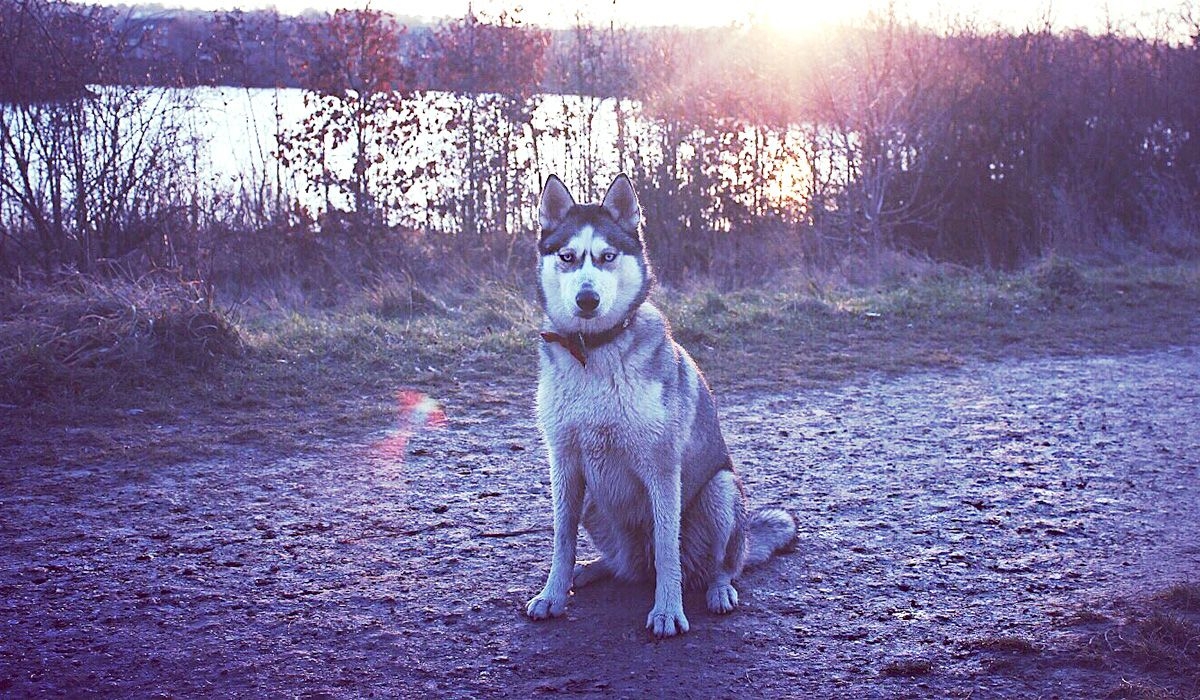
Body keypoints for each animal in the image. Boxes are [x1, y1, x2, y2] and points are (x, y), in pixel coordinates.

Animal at [525, 172, 796, 638]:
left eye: (607, 256)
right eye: (568, 257)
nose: (587, 299)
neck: (593, 351)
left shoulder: (662, 466)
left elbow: (669, 547)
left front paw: (668, 610)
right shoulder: (564, 462)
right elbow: (561, 539)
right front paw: (553, 594)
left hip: (721, 491)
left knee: (717, 566)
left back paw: (718, 590)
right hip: (595, 502)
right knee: (624, 566)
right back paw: (591, 568)